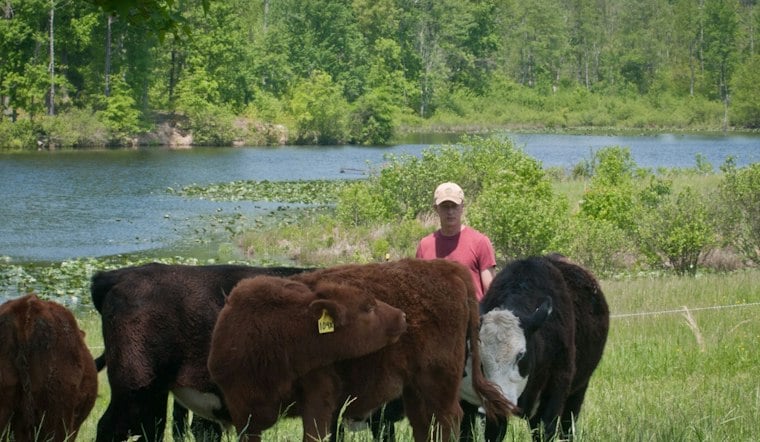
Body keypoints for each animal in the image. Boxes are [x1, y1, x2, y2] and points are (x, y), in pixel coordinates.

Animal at [208, 258, 516, 442]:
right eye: (367, 306)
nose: (402, 317)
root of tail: (447, 268)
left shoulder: (318, 401)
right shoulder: (243, 413)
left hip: (439, 382)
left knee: (447, 420)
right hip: (415, 388)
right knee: (422, 423)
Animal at [460, 253, 610, 441]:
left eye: (521, 354)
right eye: (479, 360)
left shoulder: (555, 391)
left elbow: (546, 430)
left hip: (579, 389)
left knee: (568, 425)